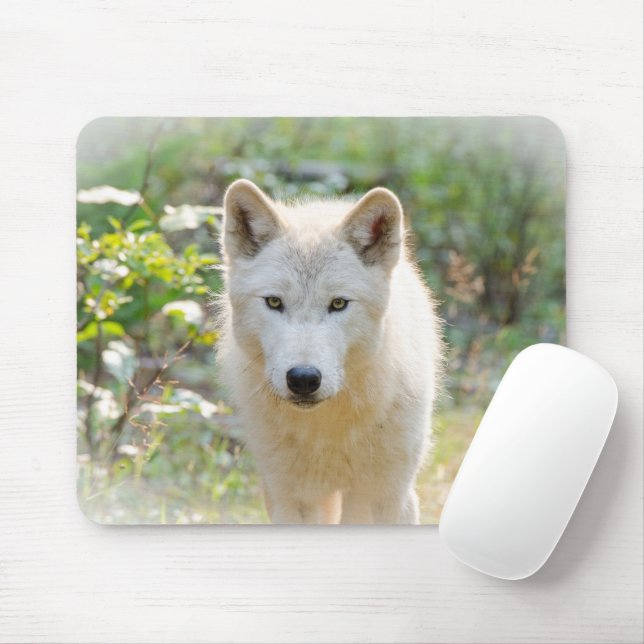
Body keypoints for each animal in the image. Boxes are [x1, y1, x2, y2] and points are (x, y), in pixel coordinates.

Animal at [215, 179, 443, 524]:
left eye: (338, 304)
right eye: (274, 302)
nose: (303, 379)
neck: (328, 429)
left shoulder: (384, 496)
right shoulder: (292, 499)